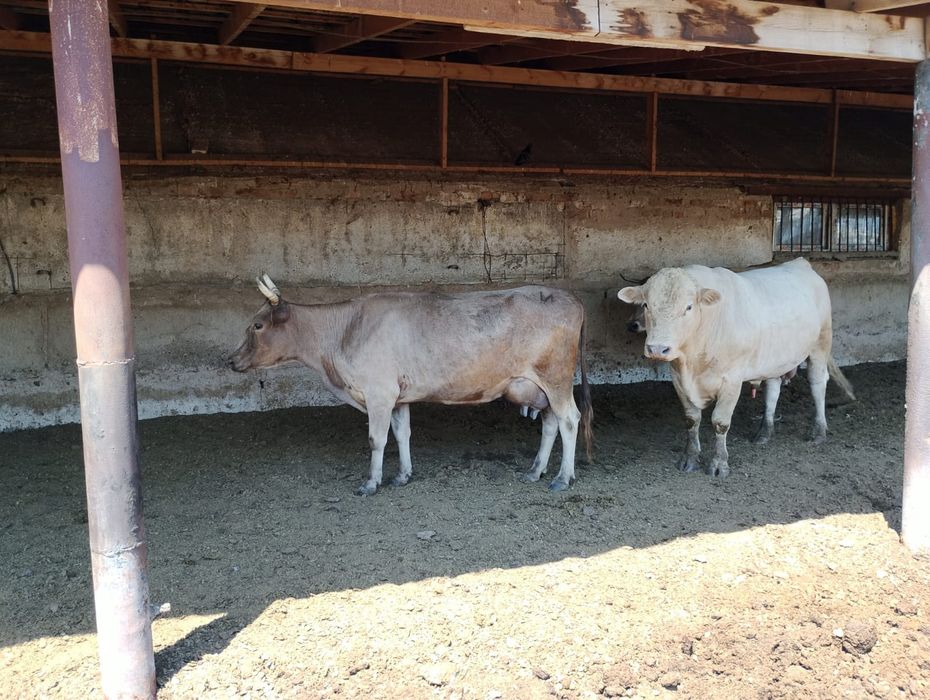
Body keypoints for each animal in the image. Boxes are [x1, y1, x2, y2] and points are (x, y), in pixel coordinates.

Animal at [229, 275, 593, 495]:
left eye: (257, 325)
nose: (230, 360)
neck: (344, 331)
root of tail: (569, 297)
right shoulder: (397, 397)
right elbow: (402, 433)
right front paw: (403, 475)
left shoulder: (378, 393)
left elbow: (376, 440)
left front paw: (371, 482)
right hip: (540, 387)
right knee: (550, 424)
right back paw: (536, 470)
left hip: (556, 380)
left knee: (570, 420)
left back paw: (563, 477)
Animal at [617, 258, 855, 478]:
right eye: (646, 305)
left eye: (689, 307)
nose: (658, 348)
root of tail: (800, 263)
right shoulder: (677, 378)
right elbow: (691, 420)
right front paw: (689, 459)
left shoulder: (731, 380)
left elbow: (720, 422)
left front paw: (719, 464)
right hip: (776, 358)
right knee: (773, 390)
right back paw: (764, 432)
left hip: (820, 343)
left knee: (817, 384)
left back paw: (819, 431)